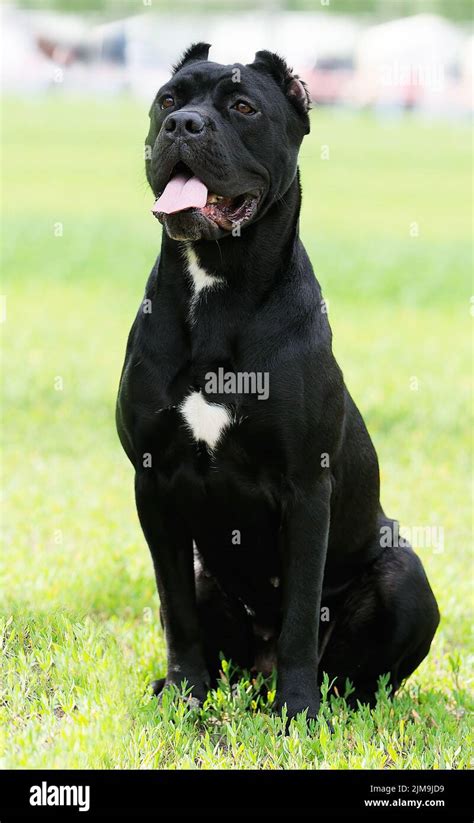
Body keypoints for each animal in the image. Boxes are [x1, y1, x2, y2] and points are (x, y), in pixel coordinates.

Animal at [115, 43, 440, 720]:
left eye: (244, 107)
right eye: (167, 98)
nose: (182, 125)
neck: (218, 284)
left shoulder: (306, 486)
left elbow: (298, 614)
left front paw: (299, 712)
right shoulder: (153, 482)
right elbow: (175, 608)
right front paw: (185, 692)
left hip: (406, 575)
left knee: (360, 675)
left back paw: (335, 704)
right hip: (209, 573)